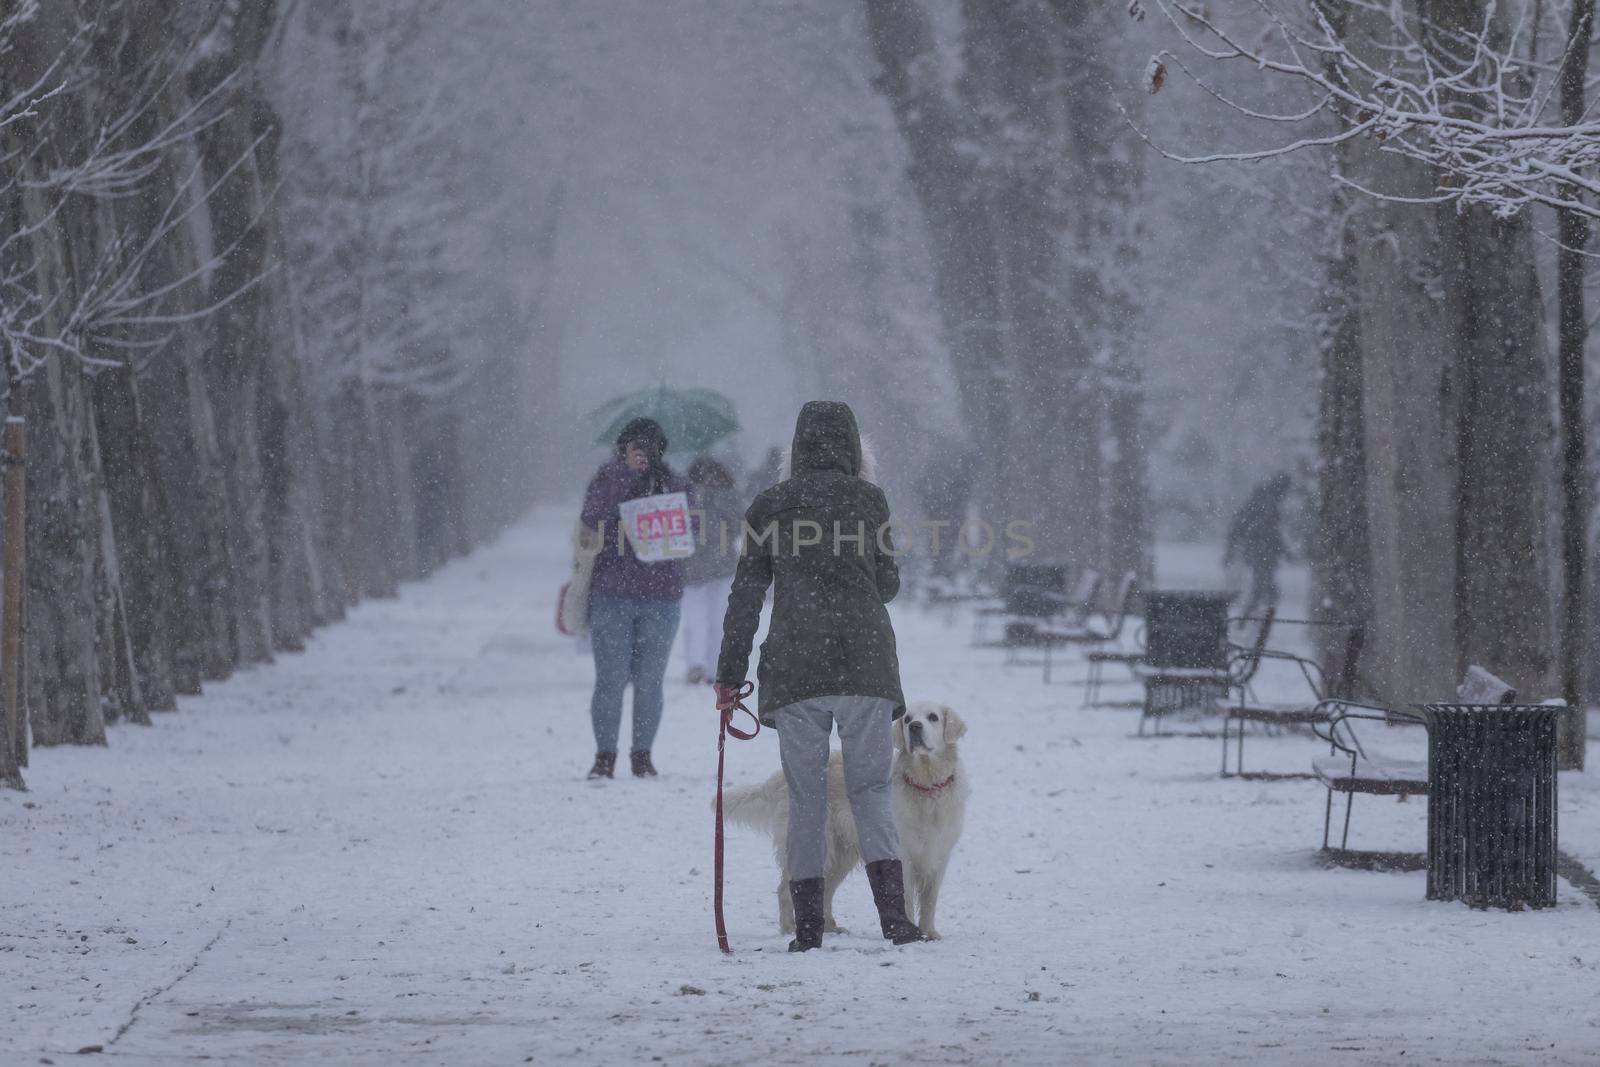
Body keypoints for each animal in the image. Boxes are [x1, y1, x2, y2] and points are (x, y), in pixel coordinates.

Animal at [723, 703, 960, 940]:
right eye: (907, 719)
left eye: (933, 717)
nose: (915, 727)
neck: (925, 785)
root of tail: (780, 779)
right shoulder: (904, 853)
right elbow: (907, 896)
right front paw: (909, 930)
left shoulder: (940, 854)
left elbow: (930, 900)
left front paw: (929, 932)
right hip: (818, 842)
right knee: (785, 888)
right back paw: (789, 928)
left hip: (840, 853)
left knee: (825, 888)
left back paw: (829, 926)